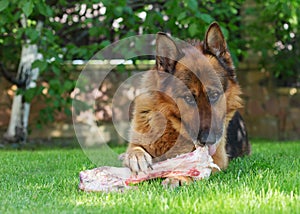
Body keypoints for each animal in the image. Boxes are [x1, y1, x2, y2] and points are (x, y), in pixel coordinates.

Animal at [123, 22, 250, 185]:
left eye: (214, 95)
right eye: (189, 98)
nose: (208, 141)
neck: (173, 128)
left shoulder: (217, 159)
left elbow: (197, 165)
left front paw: (179, 176)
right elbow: (135, 148)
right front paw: (137, 156)